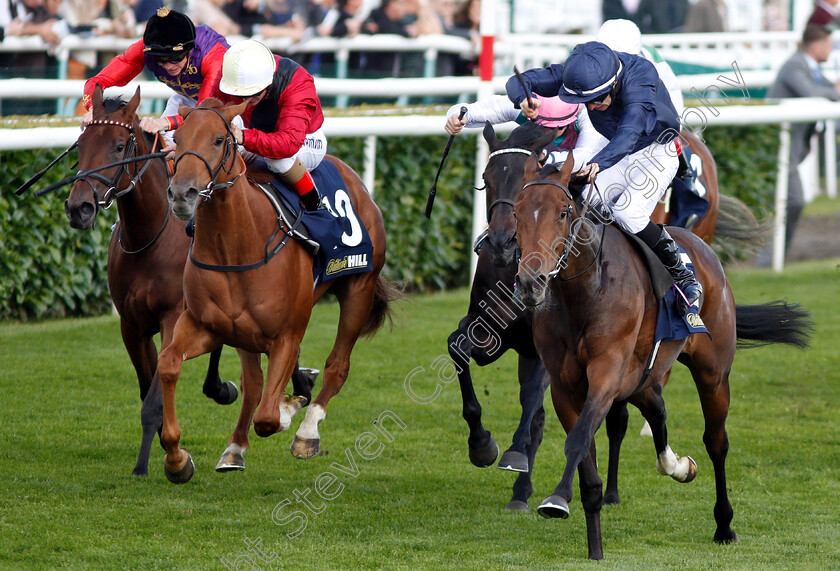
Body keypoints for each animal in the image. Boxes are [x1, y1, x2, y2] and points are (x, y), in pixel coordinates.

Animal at [63, 86, 316, 478]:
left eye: (119, 146)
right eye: (80, 144)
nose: (80, 208)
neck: (149, 238)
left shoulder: (173, 315)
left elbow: (153, 399)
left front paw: (147, 464)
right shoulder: (131, 325)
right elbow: (147, 388)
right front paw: (160, 452)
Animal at [158, 98, 400, 482]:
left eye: (218, 140)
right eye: (177, 139)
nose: (182, 194)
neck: (237, 247)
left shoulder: (286, 334)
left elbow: (269, 417)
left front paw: (289, 408)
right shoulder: (206, 326)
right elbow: (168, 364)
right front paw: (177, 459)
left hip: (358, 290)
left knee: (337, 365)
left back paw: (307, 431)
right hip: (244, 332)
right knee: (254, 383)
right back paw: (235, 448)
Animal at [508, 156, 812, 560]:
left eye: (563, 212)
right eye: (518, 212)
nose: (531, 282)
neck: (585, 292)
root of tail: (702, 247)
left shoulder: (606, 374)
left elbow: (577, 439)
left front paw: (556, 500)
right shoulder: (565, 386)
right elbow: (584, 449)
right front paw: (594, 544)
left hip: (712, 373)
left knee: (716, 441)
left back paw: (724, 525)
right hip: (642, 375)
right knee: (656, 408)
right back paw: (677, 465)